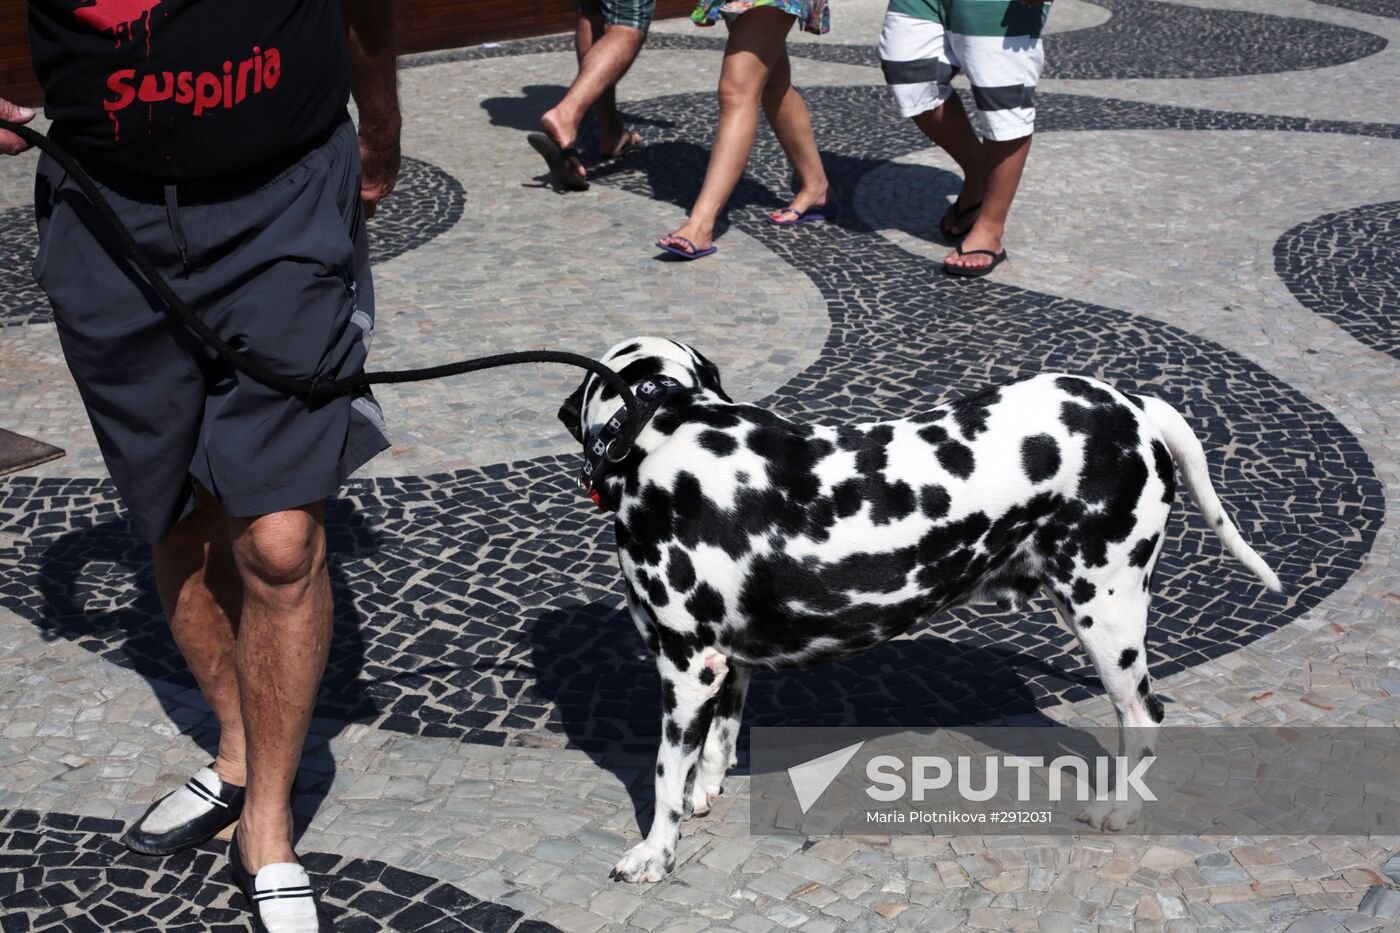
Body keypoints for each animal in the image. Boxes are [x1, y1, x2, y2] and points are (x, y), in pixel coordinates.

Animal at [554, 334, 1282, 879]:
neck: (667, 430)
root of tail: (1134, 403)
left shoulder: (686, 666)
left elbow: (662, 776)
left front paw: (654, 852)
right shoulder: (727, 666)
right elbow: (716, 746)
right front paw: (706, 790)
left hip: (1107, 616)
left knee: (1144, 716)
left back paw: (1122, 811)